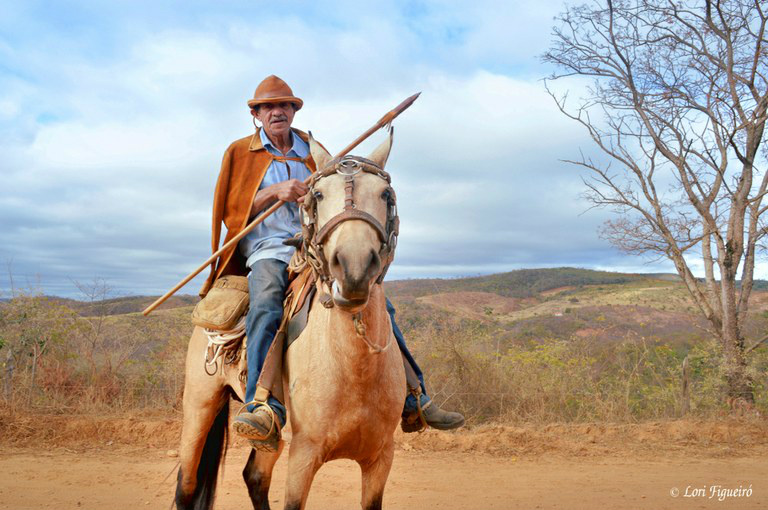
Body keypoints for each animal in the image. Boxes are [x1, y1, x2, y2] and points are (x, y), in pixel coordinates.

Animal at [172, 132, 402, 510]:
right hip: (199, 405)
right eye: (318, 195)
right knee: (186, 484)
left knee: (255, 476)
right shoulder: (304, 455)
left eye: (385, 194)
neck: (355, 369)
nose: (353, 269)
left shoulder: (381, 458)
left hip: (270, 435)